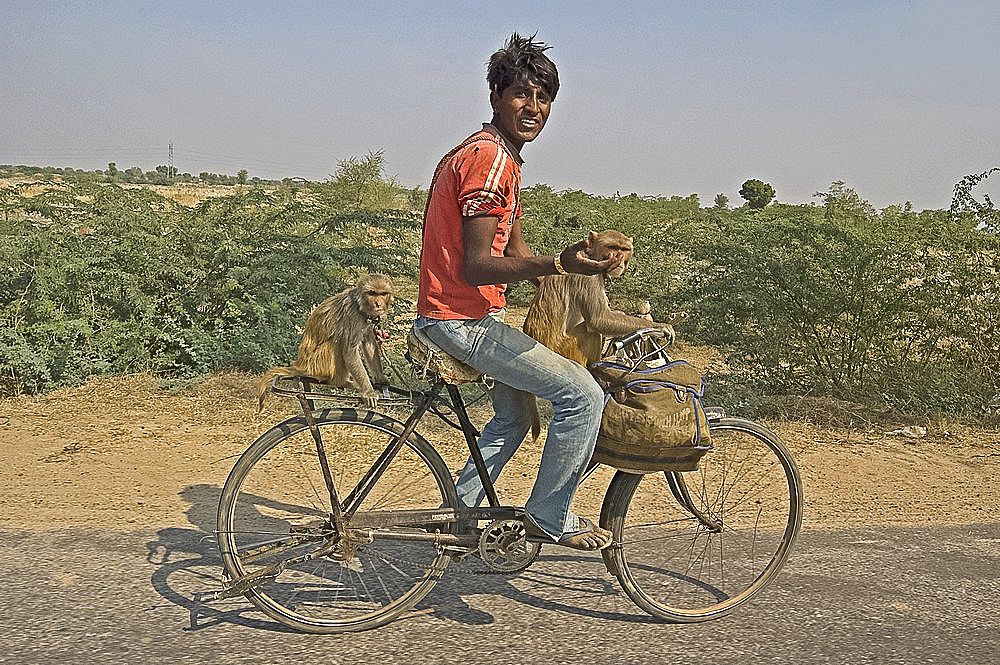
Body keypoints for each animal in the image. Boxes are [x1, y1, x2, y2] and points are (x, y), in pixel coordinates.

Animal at [258, 272, 394, 408]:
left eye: (382, 294)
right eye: (372, 293)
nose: (378, 304)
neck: (360, 306)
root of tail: (301, 364)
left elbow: (369, 342)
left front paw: (380, 378)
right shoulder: (352, 316)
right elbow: (350, 351)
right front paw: (368, 392)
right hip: (316, 364)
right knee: (338, 340)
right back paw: (341, 382)